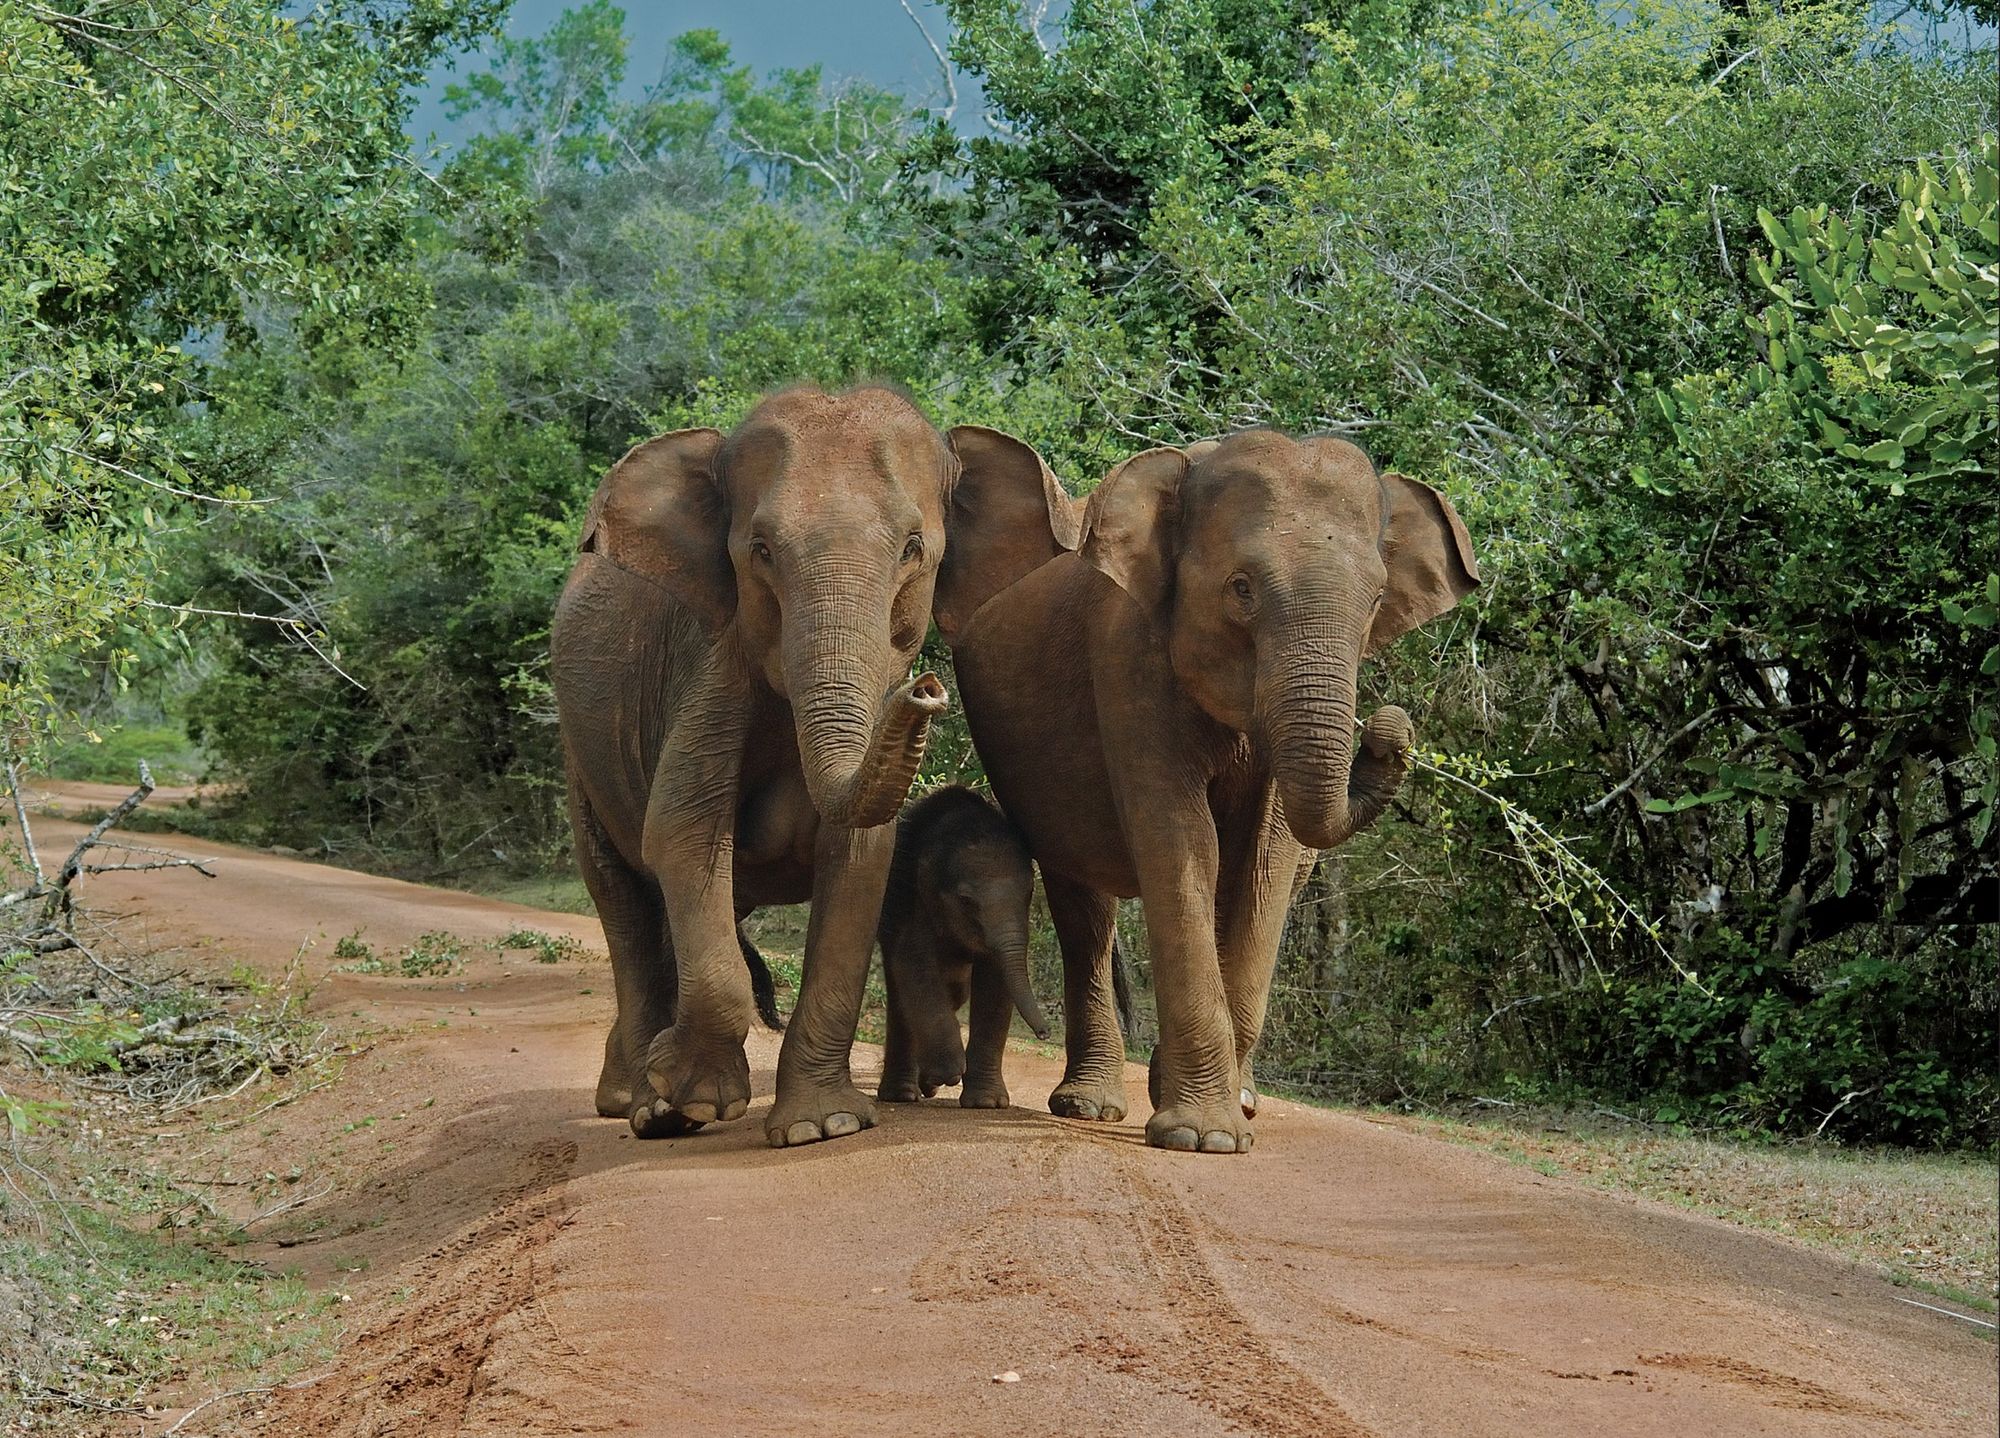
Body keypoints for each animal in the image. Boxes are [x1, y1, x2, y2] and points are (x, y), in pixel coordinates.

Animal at [876, 784, 1050, 1108]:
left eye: (1030, 892)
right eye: (967, 901)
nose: (1045, 1032)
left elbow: (995, 982)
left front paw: (986, 1103)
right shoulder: (908, 895)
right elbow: (914, 963)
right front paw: (949, 1071)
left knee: (955, 991)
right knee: (901, 991)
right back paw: (906, 1093)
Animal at [940, 427, 1479, 1153]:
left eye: (1373, 604)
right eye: (1241, 588)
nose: (1388, 730)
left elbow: (1264, 861)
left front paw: (1215, 1117)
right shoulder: (1129, 651)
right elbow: (1183, 841)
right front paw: (1204, 1139)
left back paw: (1234, 1096)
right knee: (1083, 906)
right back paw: (1090, 1107)